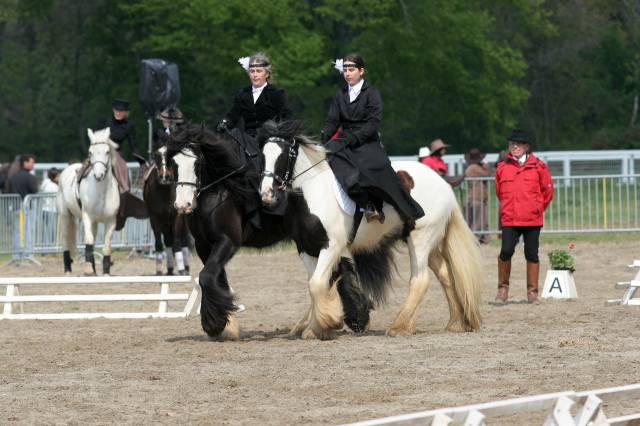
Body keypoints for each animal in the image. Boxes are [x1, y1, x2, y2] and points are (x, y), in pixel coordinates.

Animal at [56, 128, 120, 274]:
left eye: (107, 152)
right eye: (90, 152)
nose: (98, 175)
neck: (102, 192)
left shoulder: (111, 221)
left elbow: (106, 246)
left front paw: (105, 273)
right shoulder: (87, 217)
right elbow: (88, 240)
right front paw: (88, 269)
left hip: (94, 223)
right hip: (66, 216)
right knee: (65, 240)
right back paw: (68, 270)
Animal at [145, 145, 192, 274]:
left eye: (171, 159)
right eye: (156, 158)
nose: (164, 177)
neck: (164, 192)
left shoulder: (177, 217)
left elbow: (177, 243)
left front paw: (181, 270)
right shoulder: (154, 218)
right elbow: (159, 244)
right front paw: (159, 271)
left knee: (184, 240)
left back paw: (186, 268)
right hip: (166, 223)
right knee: (167, 241)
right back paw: (170, 269)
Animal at [168, 123, 372, 340]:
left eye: (197, 162)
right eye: (173, 163)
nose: (183, 205)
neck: (219, 194)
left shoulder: (227, 241)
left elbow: (207, 276)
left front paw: (215, 324)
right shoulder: (203, 245)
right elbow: (216, 278)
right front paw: (227, 325)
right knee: (336, 271)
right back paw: (346, 318)